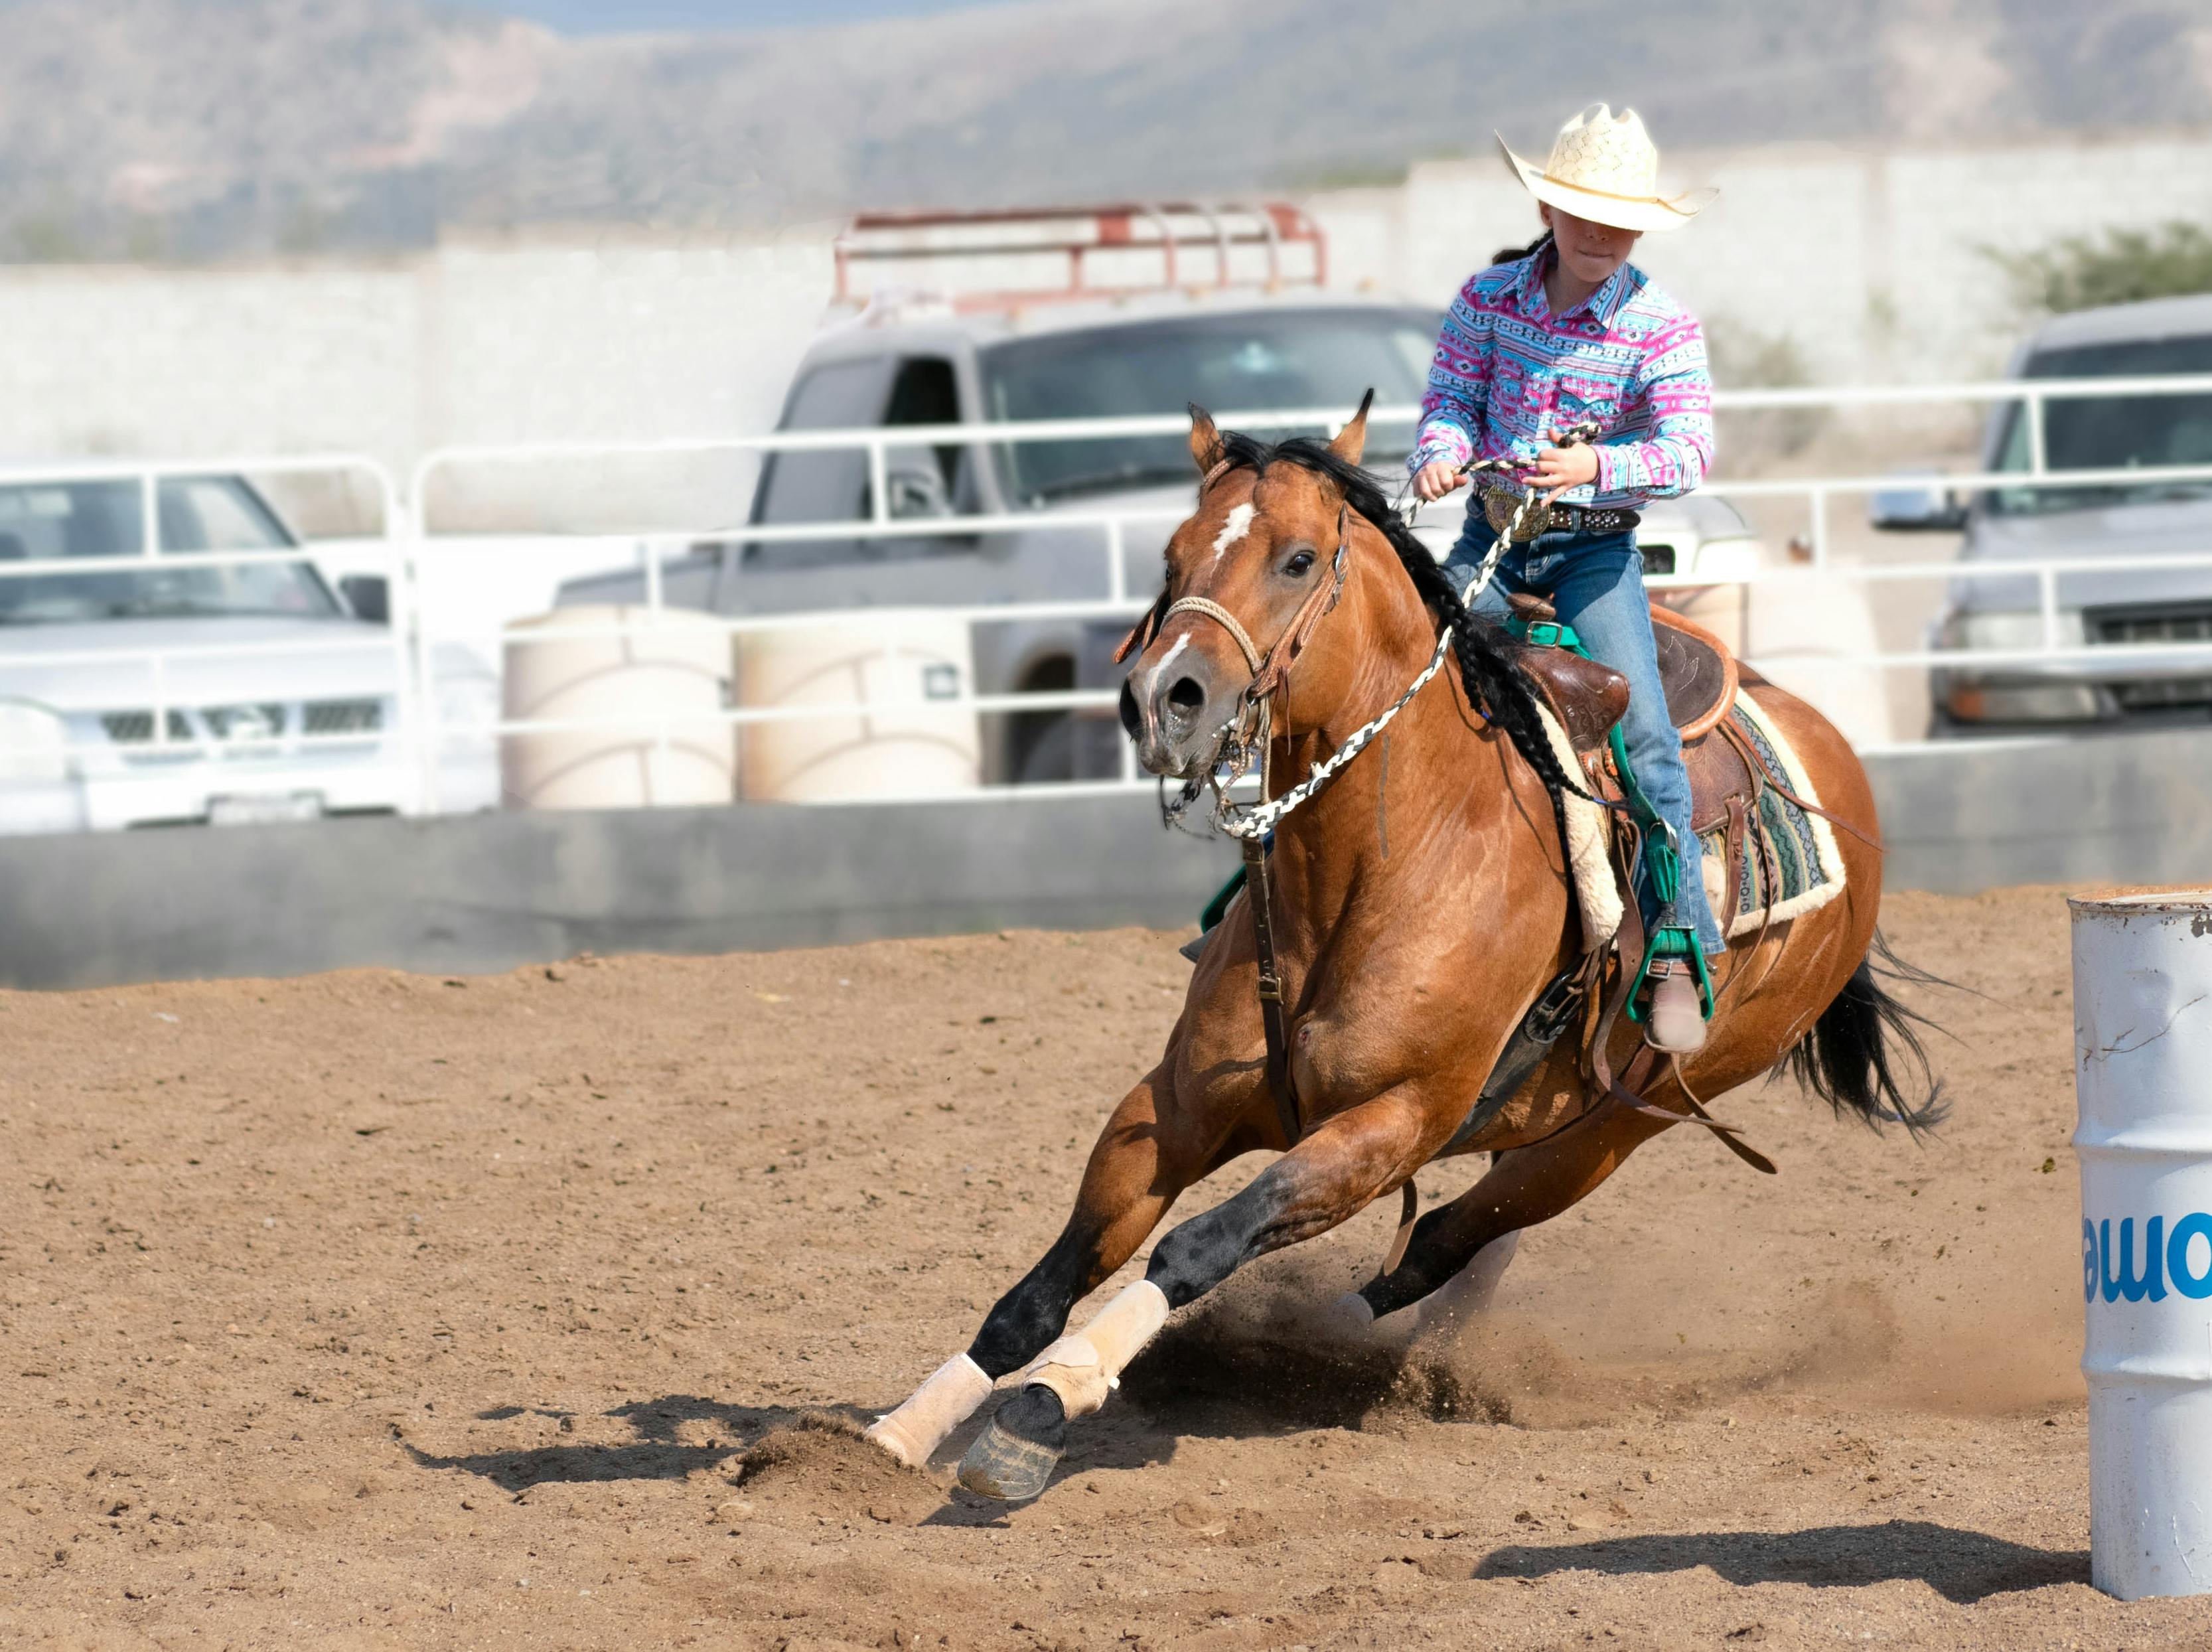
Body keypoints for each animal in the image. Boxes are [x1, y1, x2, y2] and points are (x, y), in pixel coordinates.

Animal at [853, 398, 1929, 1495]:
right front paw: (907, 1424)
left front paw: (1047, 1401)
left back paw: (1315, 1345)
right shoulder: (1172, 1106)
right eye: (1172, 553)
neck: (1391, 857)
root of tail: (1829, 751)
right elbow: (1049, 1278)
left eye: (1296, 560)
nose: (1163, 700)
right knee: (1473, 1241)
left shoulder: (1387, 1124)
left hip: (1619, 1127)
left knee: (1451, 1236)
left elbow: (1198, 1244)